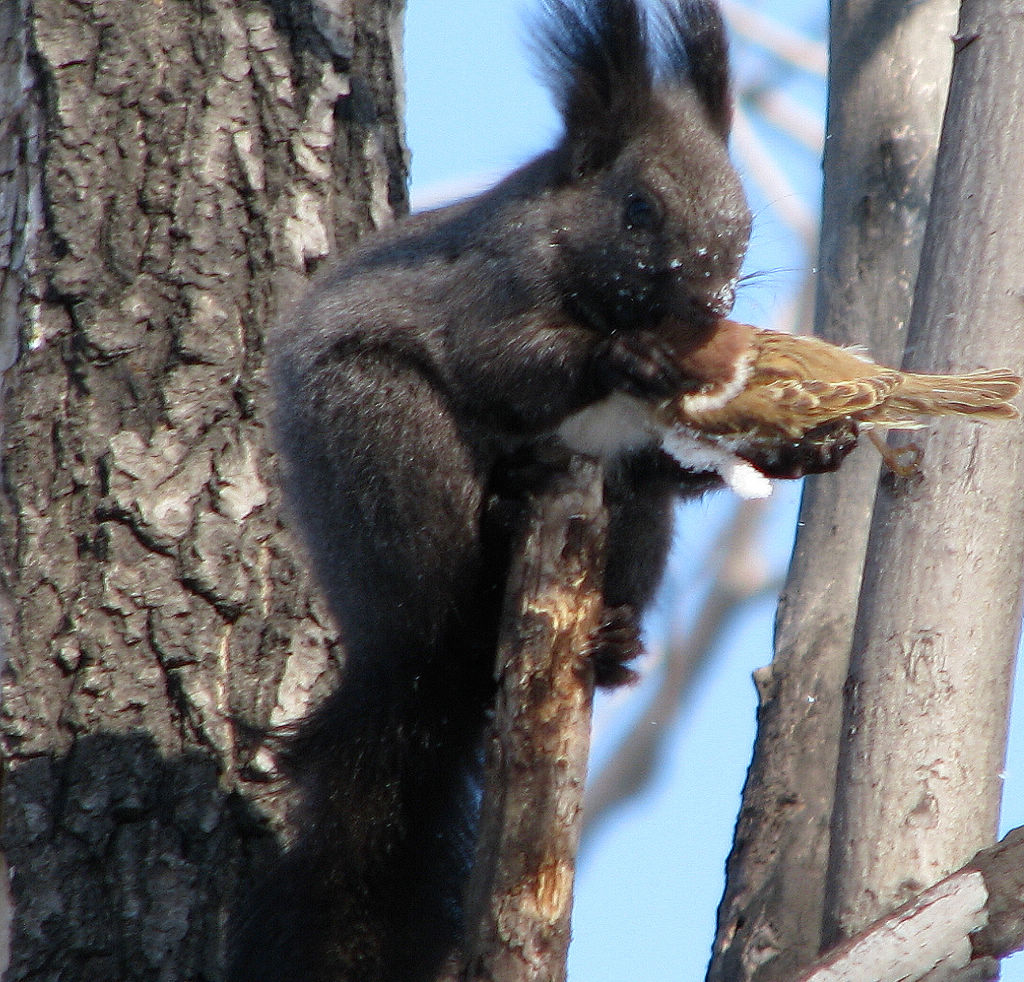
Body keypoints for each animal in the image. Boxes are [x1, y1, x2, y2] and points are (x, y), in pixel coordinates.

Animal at [232, 3, 847, 978]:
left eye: (747, 217)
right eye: (637, 209)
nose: (711, 305)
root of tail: (397, 663)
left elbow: (675, 464)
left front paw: (807, 444)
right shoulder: (486, 288)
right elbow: (510, 360)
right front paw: (621, 356)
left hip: (633, 531)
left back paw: (615, 639)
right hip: (388, 448)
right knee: (441, 591)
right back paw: (492, 524)